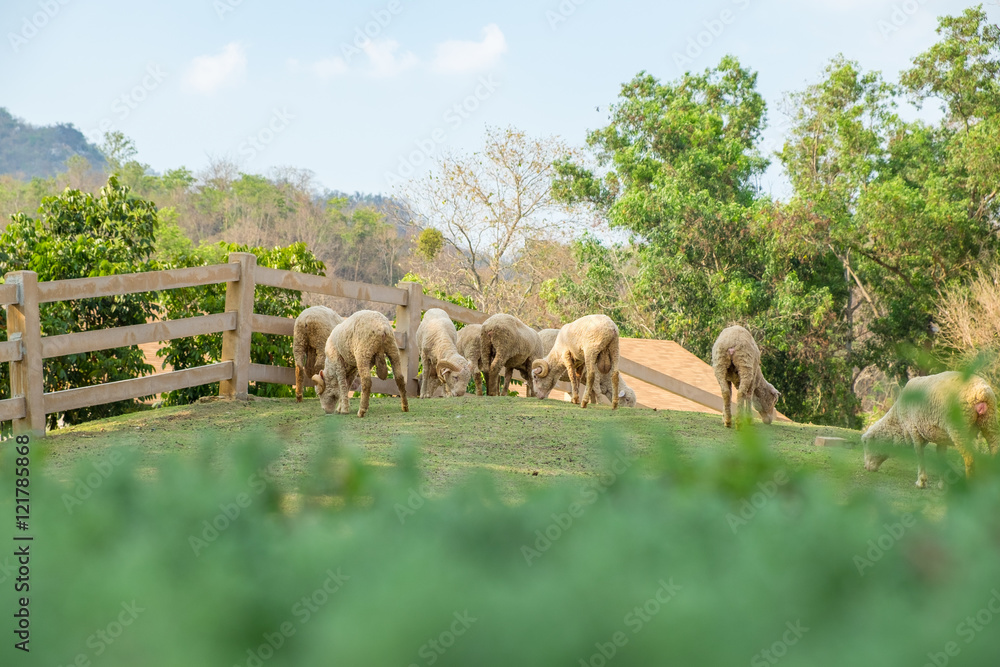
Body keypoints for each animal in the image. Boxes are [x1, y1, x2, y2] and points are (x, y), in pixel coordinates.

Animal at [860, 370, 1000, 490]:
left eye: (866, 444)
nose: (866, 467)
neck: (899, 422)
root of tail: (981, 392)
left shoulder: (914, 429)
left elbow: (919, 454)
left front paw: (921, 482)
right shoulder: (940, 436)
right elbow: (941, 457)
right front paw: (942, 484)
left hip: (958, 428)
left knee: (969, 458)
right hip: (990, 421)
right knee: (994, 449)